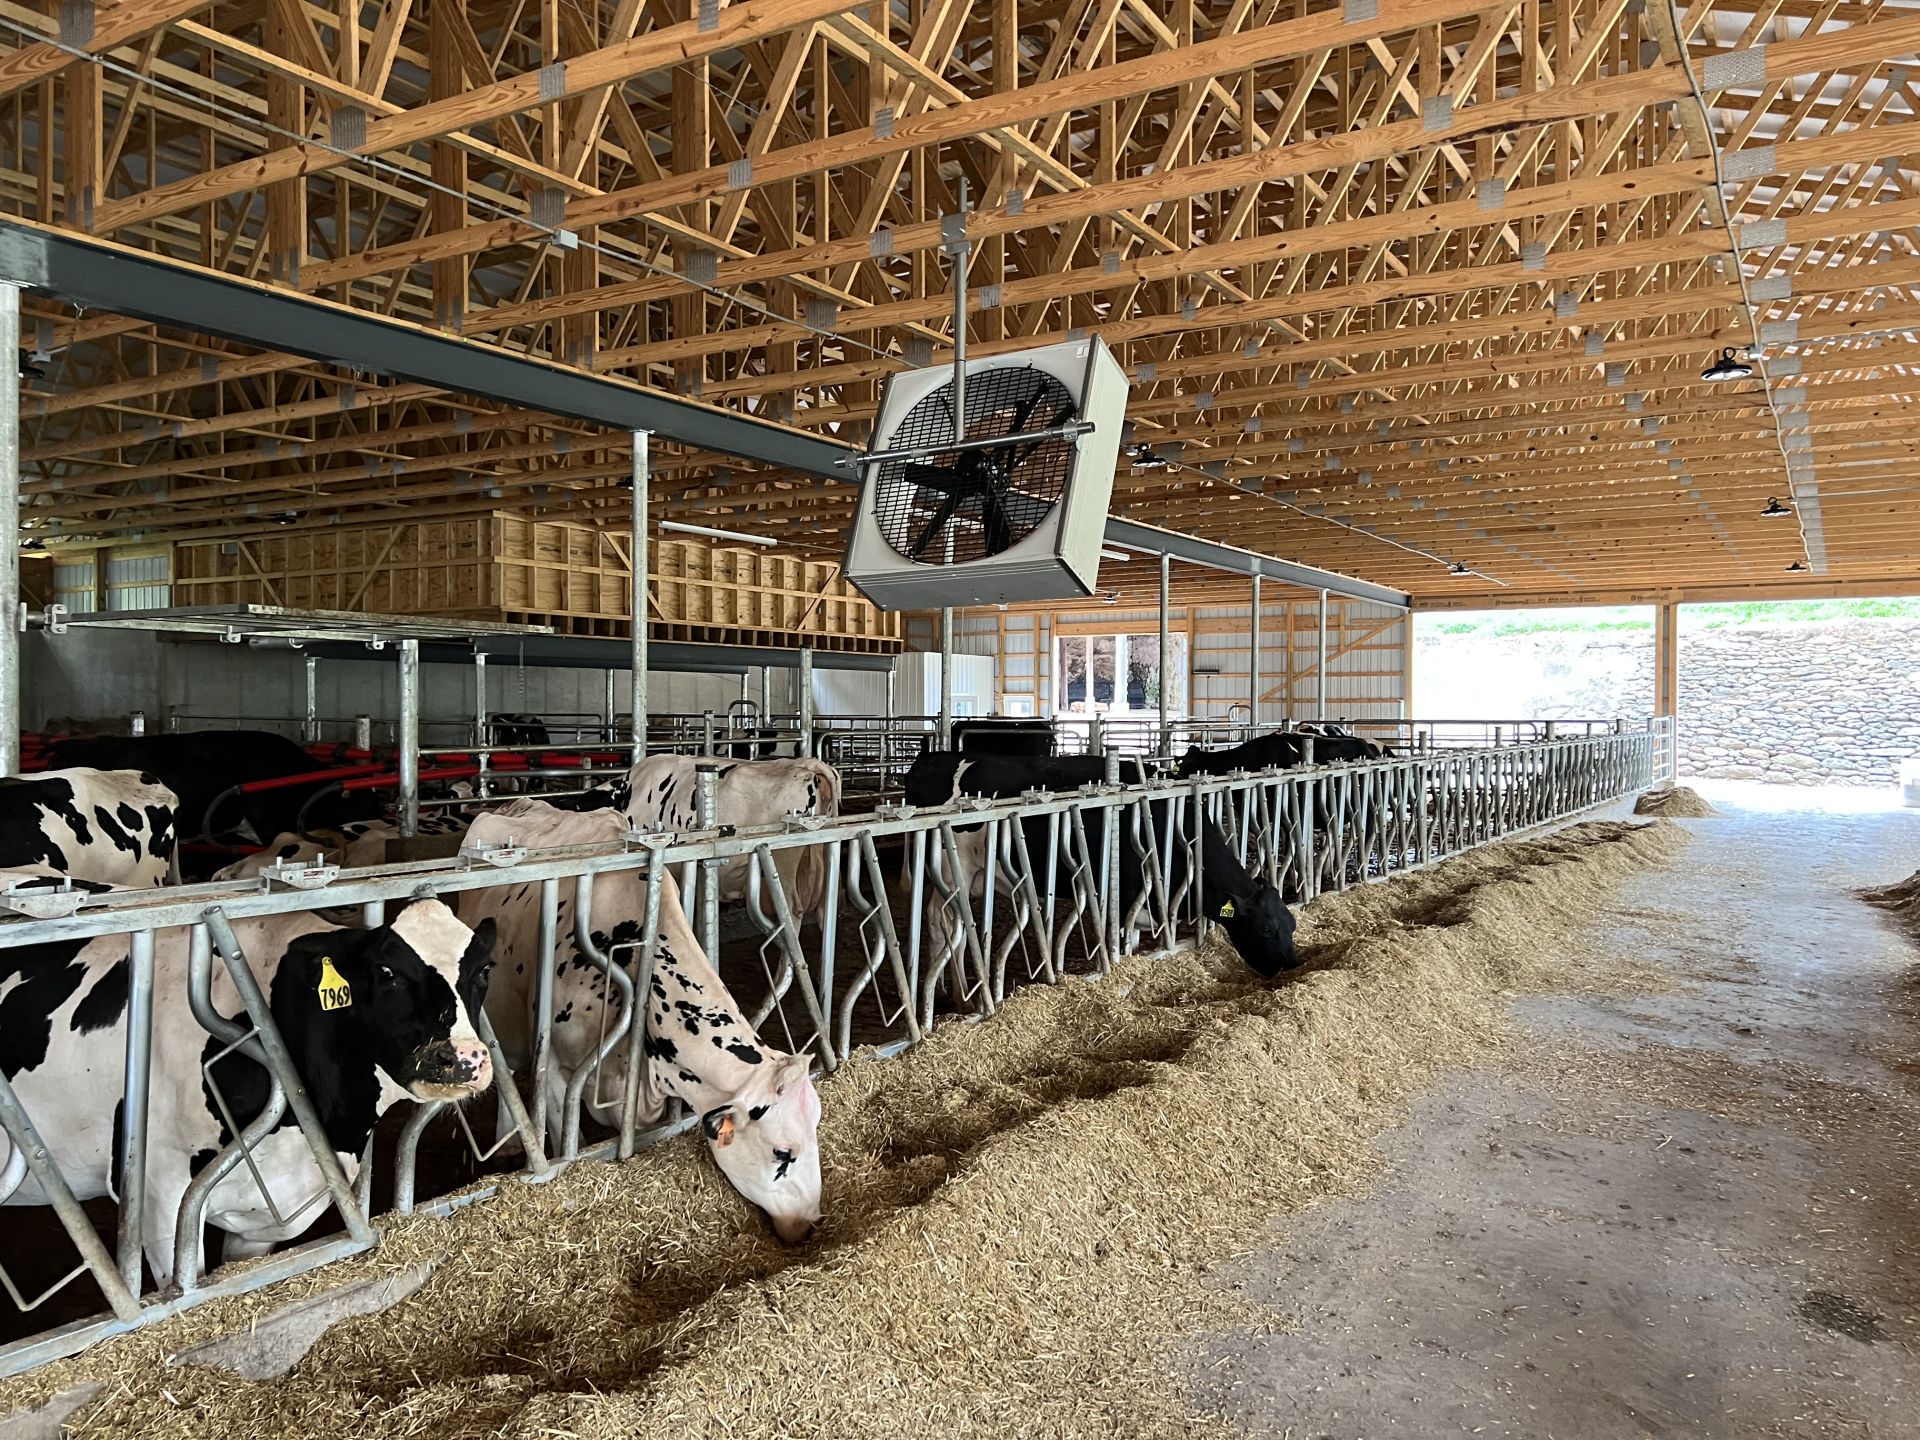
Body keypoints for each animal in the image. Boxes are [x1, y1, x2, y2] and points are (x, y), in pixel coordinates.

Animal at [902, 752, 1299, 980]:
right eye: (1265, 930)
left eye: (1291, 924)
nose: (1293, 965)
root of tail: (932, 759)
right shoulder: (1125, 892)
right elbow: (1122, 934)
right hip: (953, 869)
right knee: (941, 922)